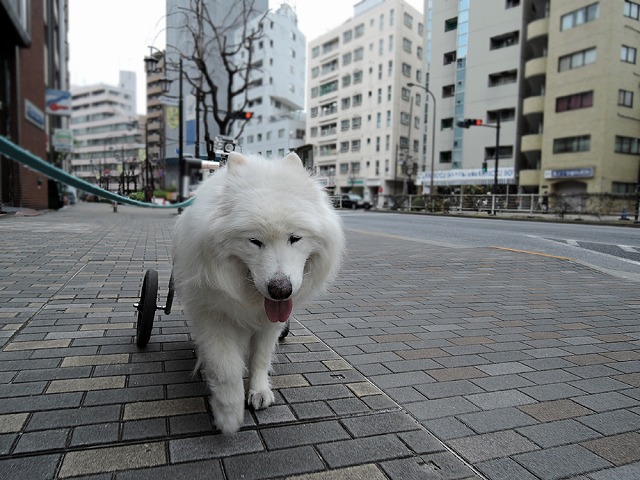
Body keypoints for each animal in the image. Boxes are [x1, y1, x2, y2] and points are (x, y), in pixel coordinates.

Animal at [171, 151, 344, 436]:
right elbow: (226, 367)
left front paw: (259, 391)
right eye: (254, 241)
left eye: (295, 238)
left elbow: (260, 357)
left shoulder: (269, 323)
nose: (280, 291)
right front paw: (228, 414)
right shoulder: (213, 316)